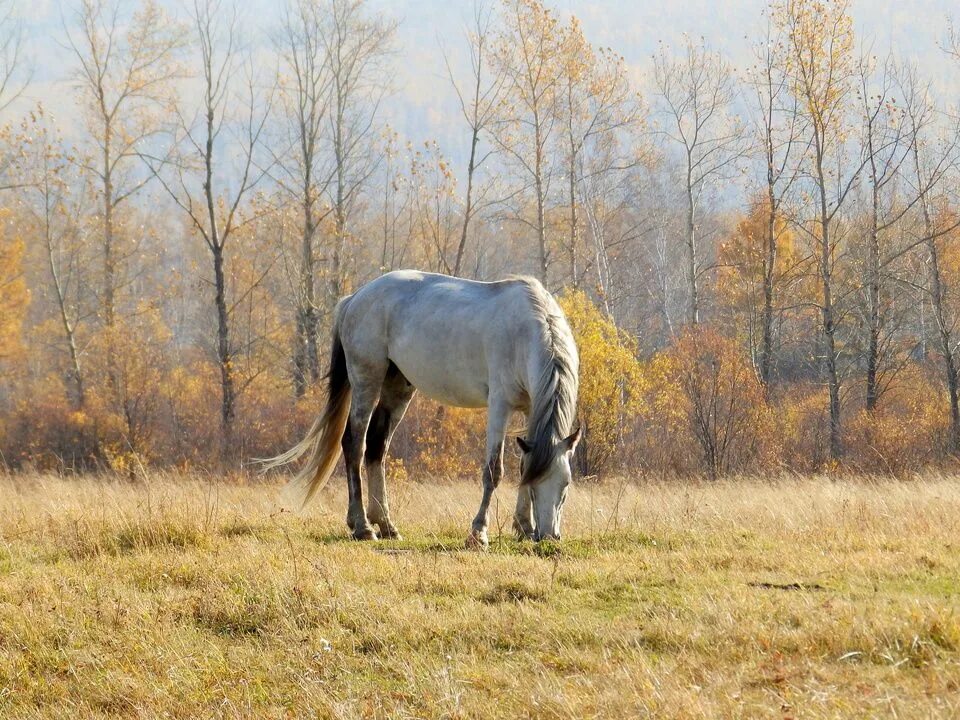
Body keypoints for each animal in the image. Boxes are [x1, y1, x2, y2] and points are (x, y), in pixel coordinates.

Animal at [270, 270, 584, 544]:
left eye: (566, 484)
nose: (549, 537)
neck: (524, 333)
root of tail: (356, 297)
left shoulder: (531, 409)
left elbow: (522, 465)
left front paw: (523, 528)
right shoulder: (500, 405)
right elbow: (494, 470)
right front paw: (478, 533)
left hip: (397, 389)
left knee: (377, 449)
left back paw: (386, 525)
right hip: (365, 382)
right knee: (355, 445)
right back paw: (362, 527)